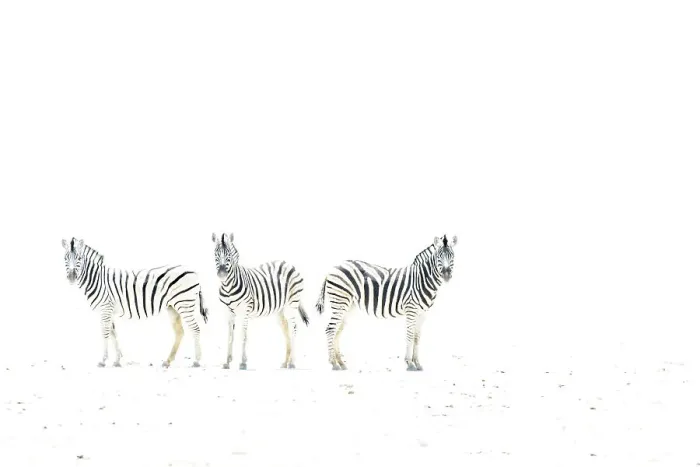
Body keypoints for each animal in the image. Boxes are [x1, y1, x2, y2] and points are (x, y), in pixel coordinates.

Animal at [61, 237, 209, 368]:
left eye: (79, 258)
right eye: (65, 258)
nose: (72, 277)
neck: (98, 280)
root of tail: (194, 272)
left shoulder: (105, 309)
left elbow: (105, 333)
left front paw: (103, 360)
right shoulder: (109, 310)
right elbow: (113, 334)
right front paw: (117, 360)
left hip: (184, 304)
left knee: (195, 329)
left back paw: (196, 361)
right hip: (172, 307)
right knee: (180, 332)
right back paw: (167, 361)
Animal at [212, 233, 309, 370]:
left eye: (229, 254)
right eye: (216, 253)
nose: (221, 273)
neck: (228, 286)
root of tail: (289, 264)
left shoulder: (245, 310)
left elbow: (243, 335)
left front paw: (243, 362)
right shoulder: (229, 312)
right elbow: (230, 337)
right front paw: (227, 362)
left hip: (292, 303)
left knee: (293, 328)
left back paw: (292, 362)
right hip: (280, 309)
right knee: (286, 329)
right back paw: (285, 362)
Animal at [315, 234, 458, 371]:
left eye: (452, 256)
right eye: (439, 256)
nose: (446, 274)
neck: (421, 279)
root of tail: (333, 269)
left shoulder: (423, 314)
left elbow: (417, 337)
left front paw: (417, 363)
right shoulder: (411, 309)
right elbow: (410, 335)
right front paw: (409, 363)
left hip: (347, 306)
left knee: (337, 330)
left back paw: (341, 363)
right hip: (340, 301)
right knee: (330, 329)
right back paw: (334, 363)